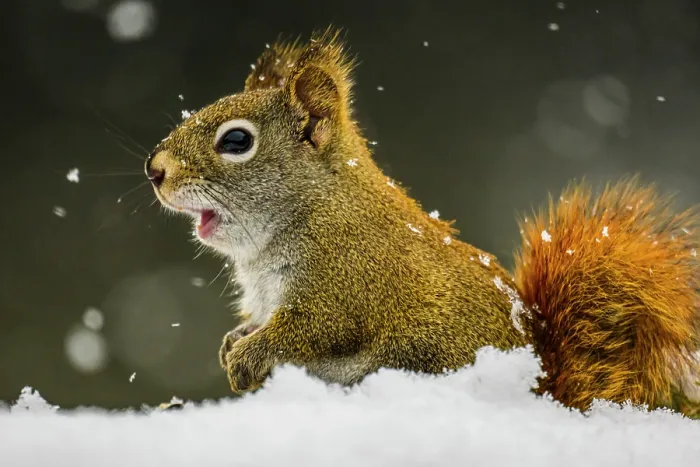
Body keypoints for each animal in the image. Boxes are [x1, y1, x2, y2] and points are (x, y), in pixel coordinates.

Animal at [145, 28, 700, 416]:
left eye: (237, 141)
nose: (154, 169)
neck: (316, 205)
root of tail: (541, 385)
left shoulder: (345, 283)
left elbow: (307, 331)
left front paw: (247, 357)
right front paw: (233, 342)